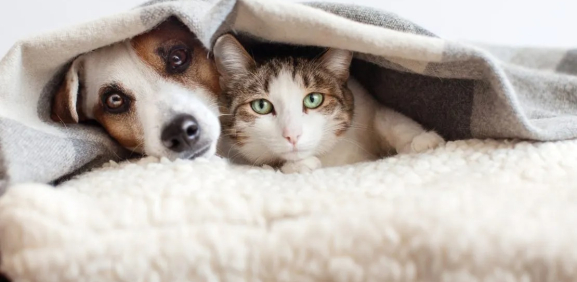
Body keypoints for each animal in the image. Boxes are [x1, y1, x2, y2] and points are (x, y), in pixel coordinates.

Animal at [214, 34, 444, 173]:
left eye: (313, 99)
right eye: (261, 106)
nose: (292, 135)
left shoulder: (364, 101)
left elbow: (387, 117)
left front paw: (422, 140)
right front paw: (299, 165)